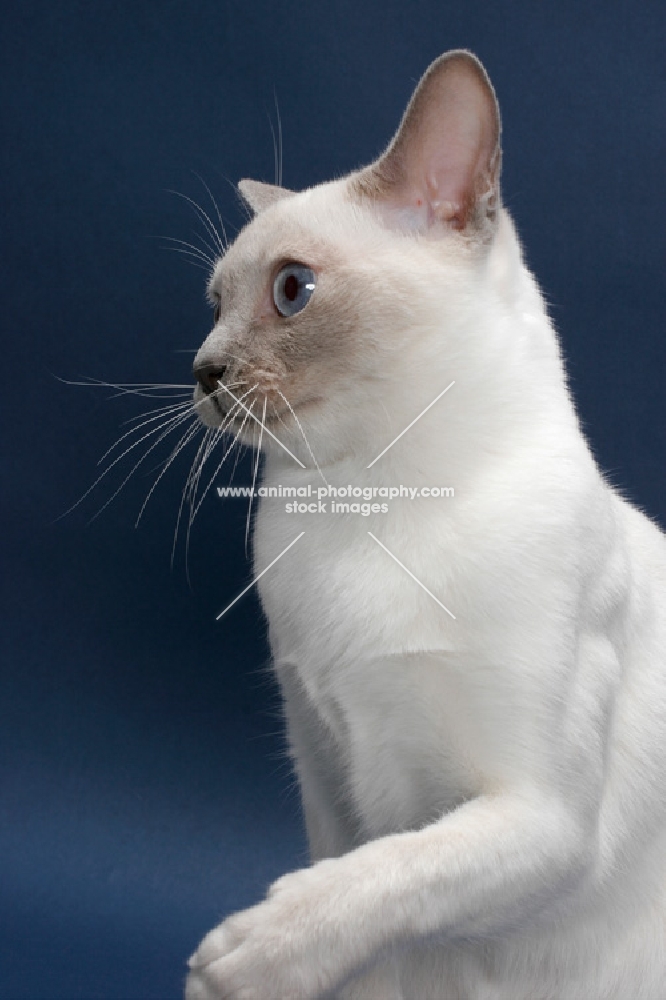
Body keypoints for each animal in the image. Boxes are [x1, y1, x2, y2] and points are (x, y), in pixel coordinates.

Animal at [183, 48, 664, 1000]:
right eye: (214, 302)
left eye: (291, 291)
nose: (203, 370)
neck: (363, 508)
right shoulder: (328, 780)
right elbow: (363, 905)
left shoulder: (542, 820)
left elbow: (391, 875)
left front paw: (244, 958)